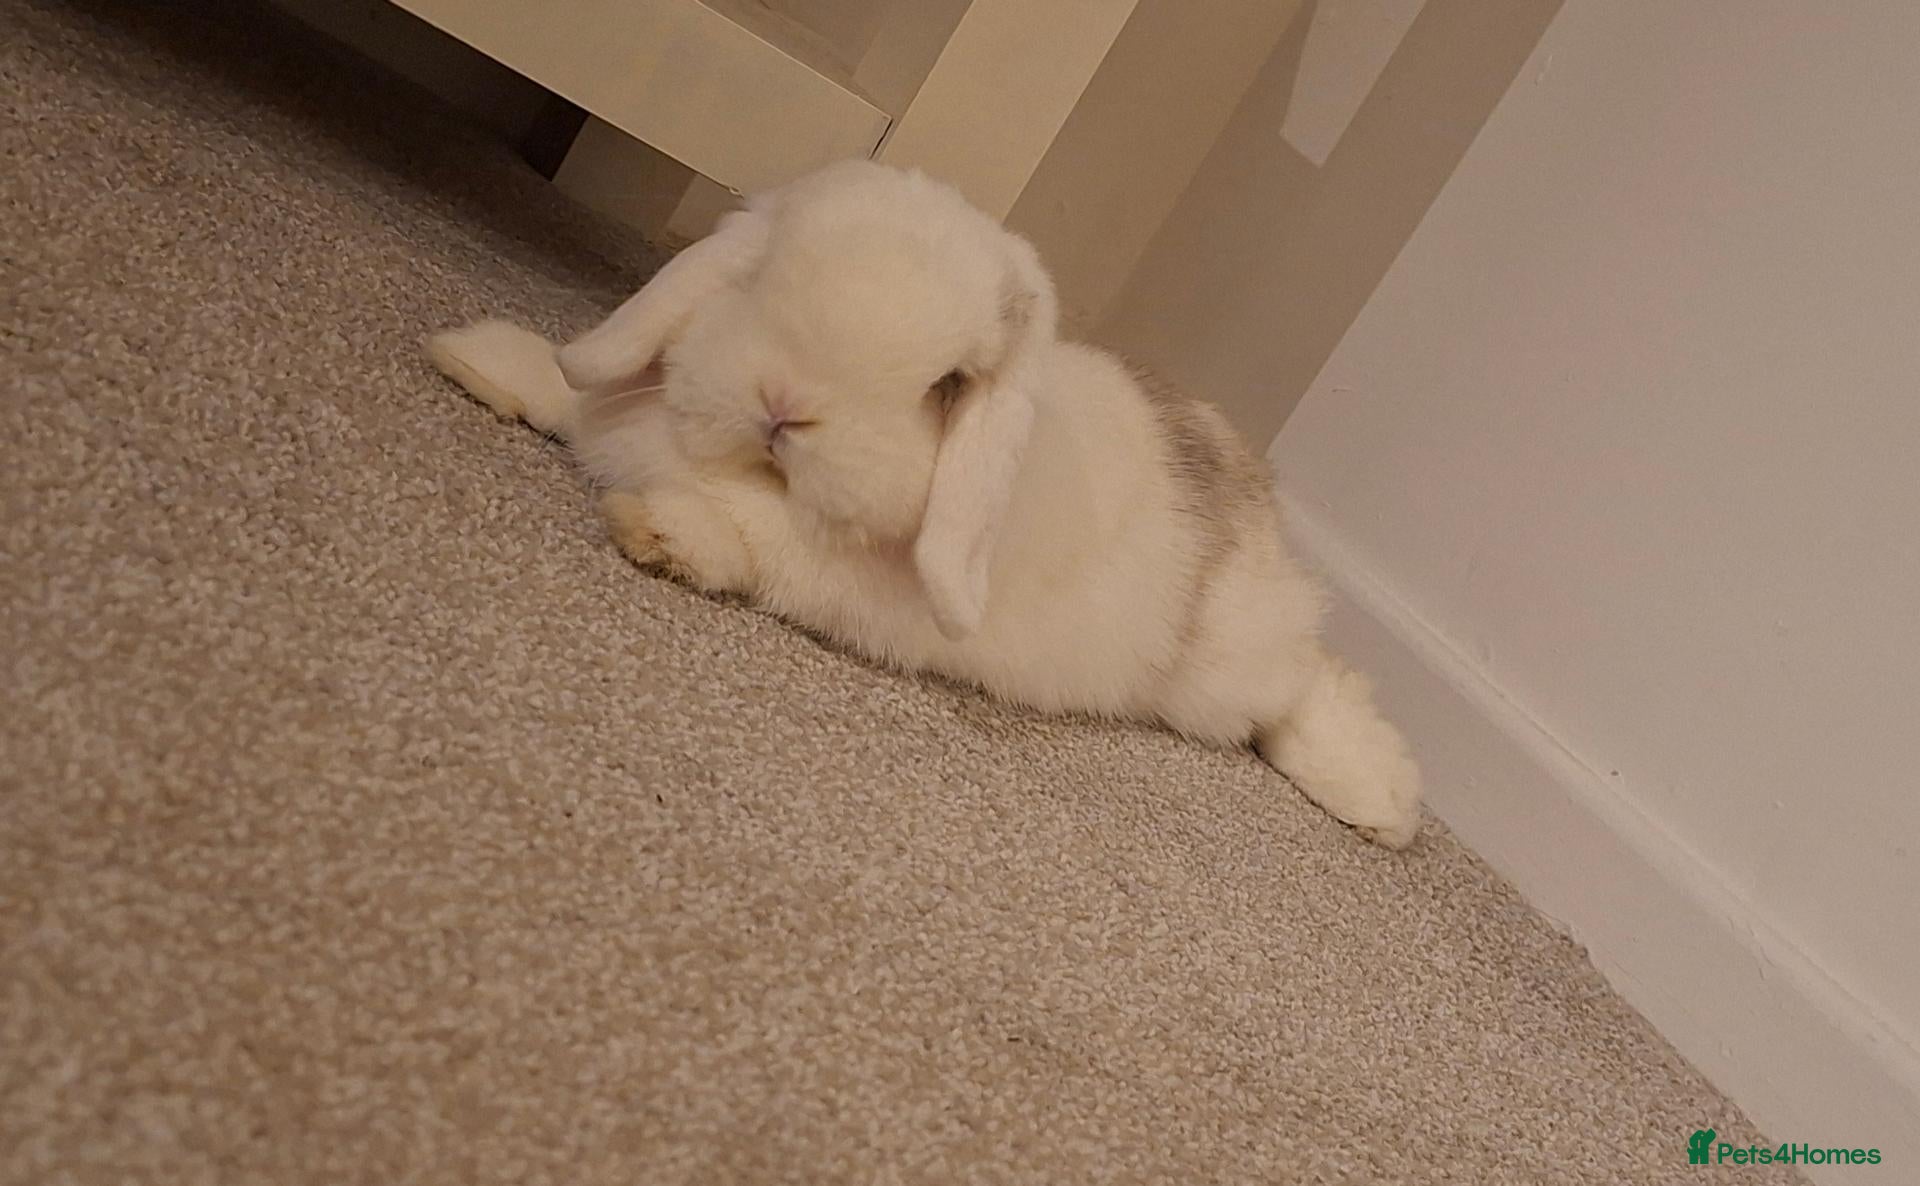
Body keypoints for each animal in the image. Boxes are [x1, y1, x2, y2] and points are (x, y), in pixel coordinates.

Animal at [426, 160, 1422, 848]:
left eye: (943, 387)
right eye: (762, 279)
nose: (784, 401)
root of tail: (1258, 506)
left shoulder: (842, 574)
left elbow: (757, 537)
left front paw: (663, 528)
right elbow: (577, 399)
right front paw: (485, 359)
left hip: (1220, 673)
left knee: (1306, 686)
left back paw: (1383, 799)